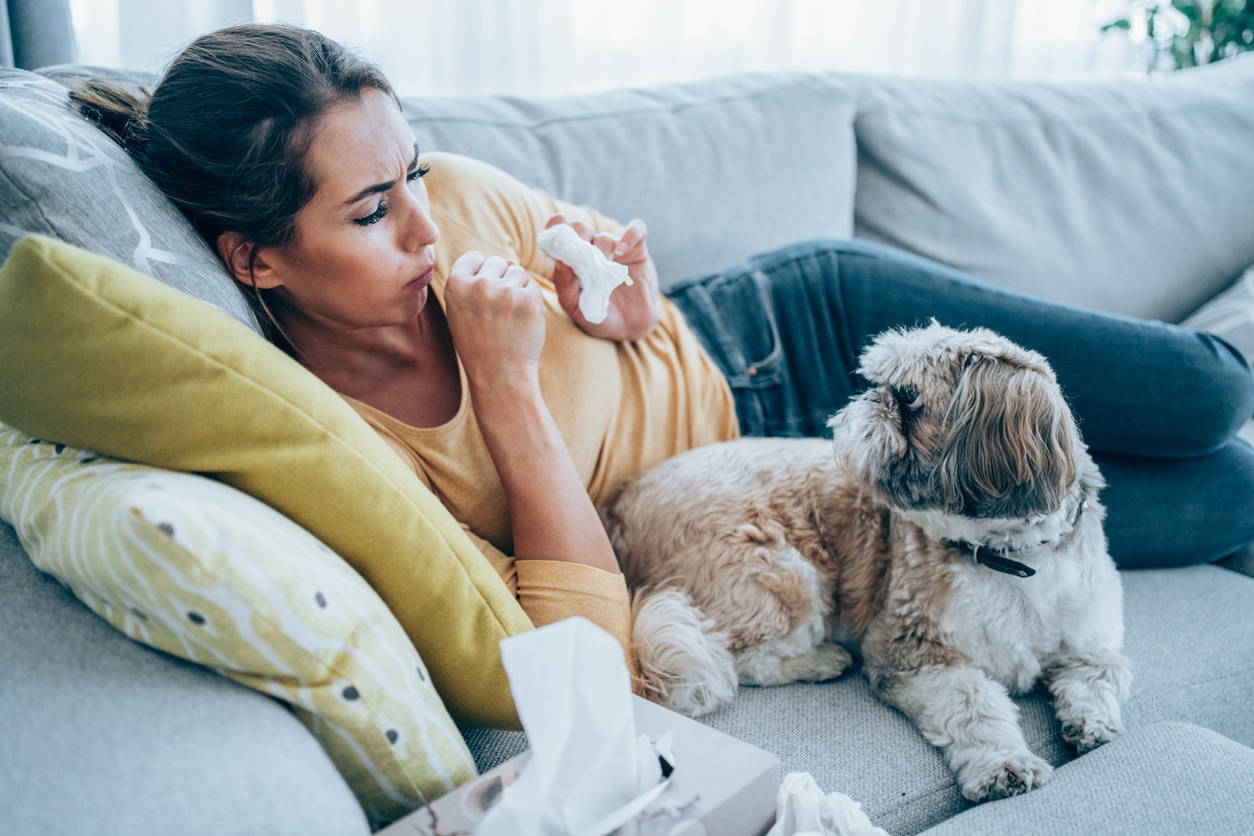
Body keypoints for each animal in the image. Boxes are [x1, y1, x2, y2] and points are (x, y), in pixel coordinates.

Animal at [601, 323, 1133, 802]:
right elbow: (972, 703)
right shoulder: (911, 653)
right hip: (782, 577)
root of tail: (620, 509)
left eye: (910, 397)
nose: (868, 400)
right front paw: (1004, 765)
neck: (1008, 558)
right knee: (733, 658)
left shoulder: (1093, 641)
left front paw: (1092, 724)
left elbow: (1098, 677)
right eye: (880, 383)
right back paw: (820, 660)